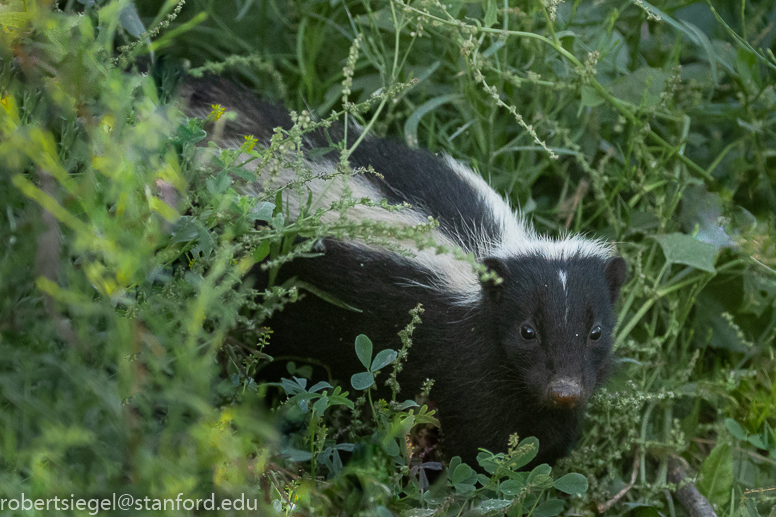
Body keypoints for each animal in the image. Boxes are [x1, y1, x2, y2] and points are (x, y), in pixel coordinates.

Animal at [185, 77, 628, 468]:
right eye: (527, 331)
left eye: (596, 332)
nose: (564, 390)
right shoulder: (469, 360)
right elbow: (480, 434)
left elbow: (547, 433)